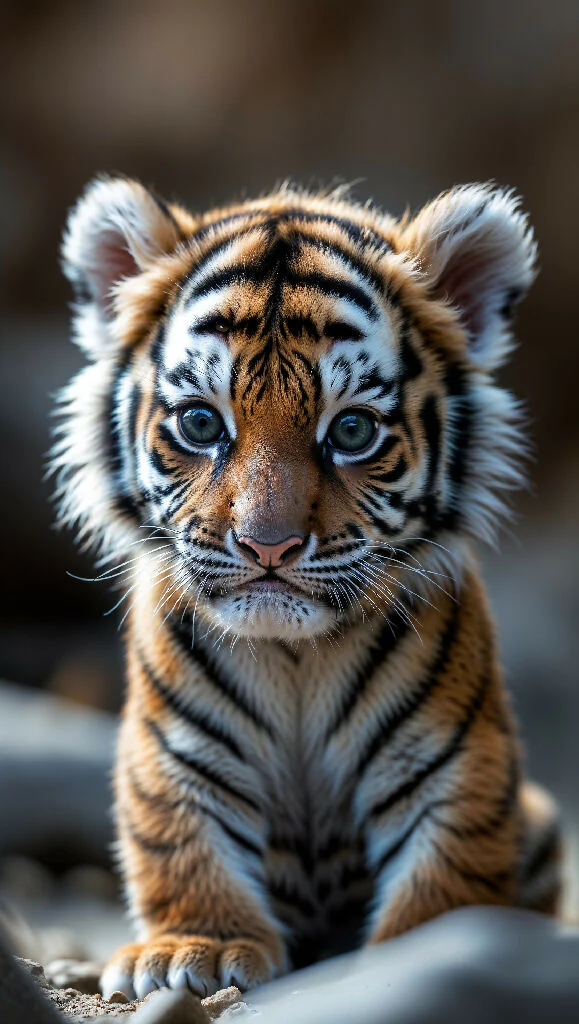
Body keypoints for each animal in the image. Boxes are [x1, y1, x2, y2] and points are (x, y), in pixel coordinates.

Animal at [51, 176, 562, 1000]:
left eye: (351, 432)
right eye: (200, 424)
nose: (268, 544)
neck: (293, 657)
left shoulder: (449, 759)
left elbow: (449, 865)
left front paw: (430, 948)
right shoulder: (175, 751)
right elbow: (177, 839)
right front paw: (195, 948)